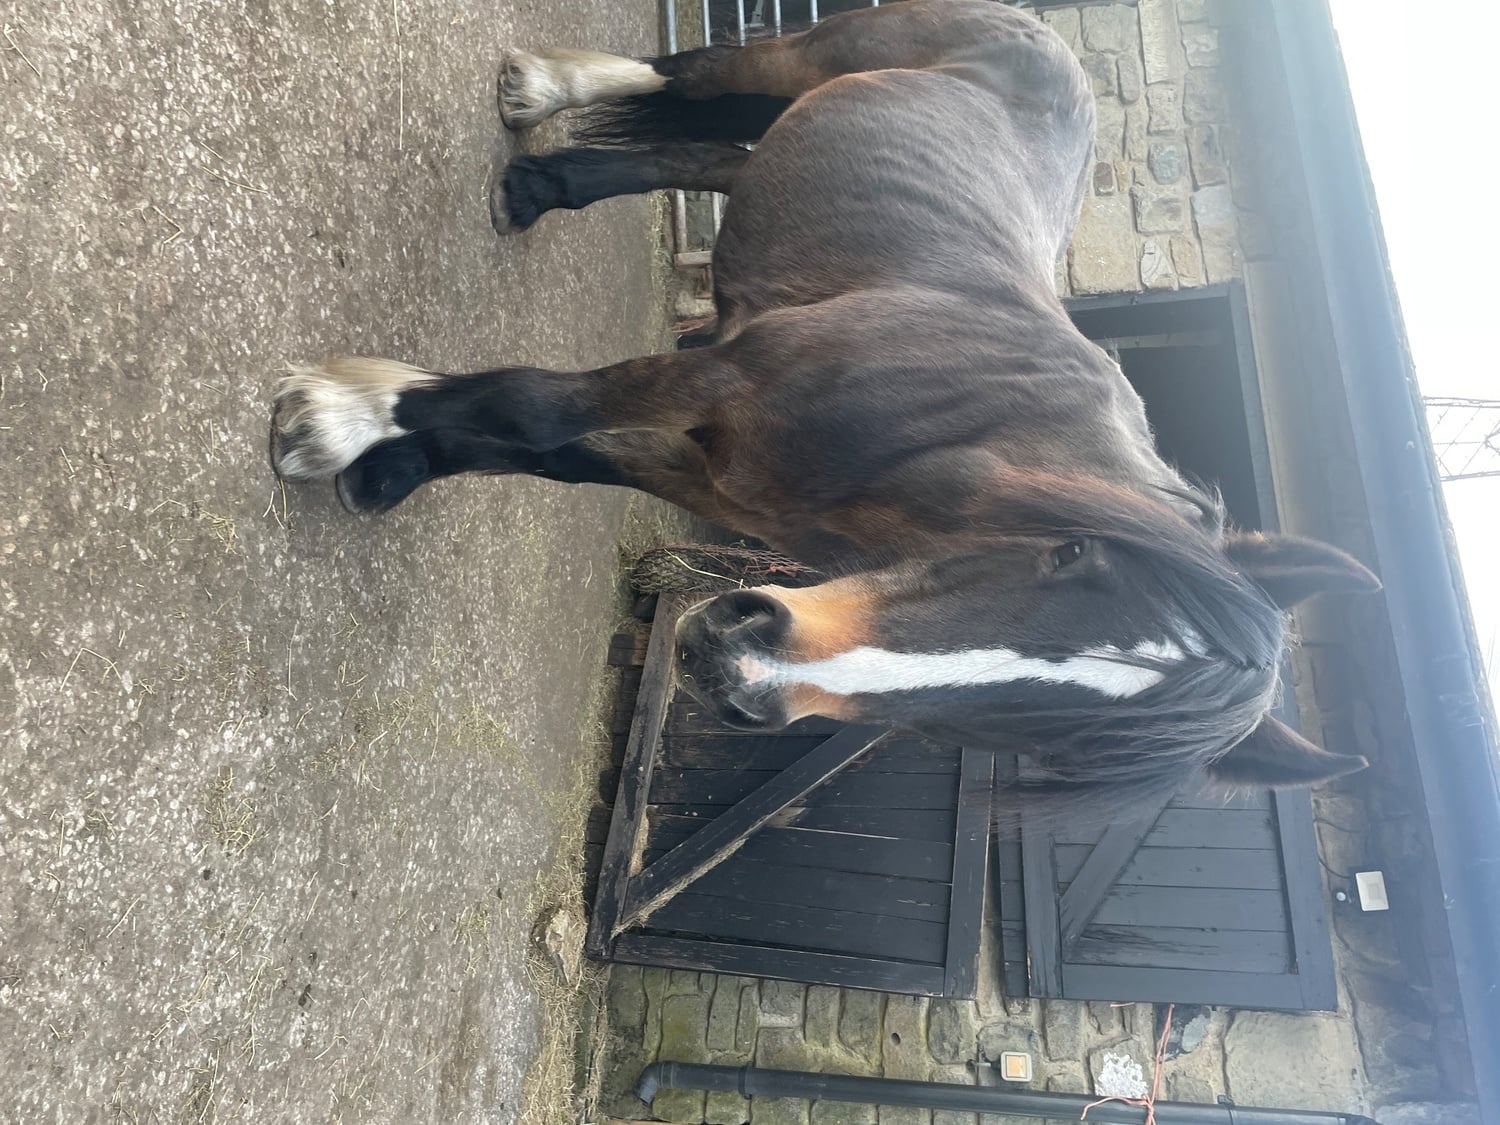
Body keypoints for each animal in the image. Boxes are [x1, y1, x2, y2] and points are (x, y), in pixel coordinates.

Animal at [270, 0, 1379, 810]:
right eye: (1069, 557)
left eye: (1052, 745)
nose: (732, 667)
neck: (963, 443)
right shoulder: (720, 382)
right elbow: (539, 412)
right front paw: (337, 420)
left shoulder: (708, 471)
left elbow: (549, 451)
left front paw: (391, 459)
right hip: (825, 54)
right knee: (701, 74)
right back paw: (544, 91)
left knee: (706, 157)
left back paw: (548, 181)